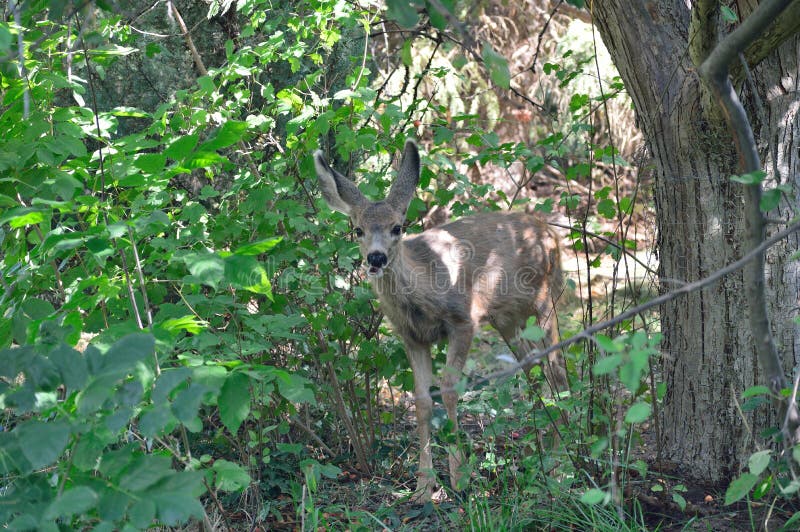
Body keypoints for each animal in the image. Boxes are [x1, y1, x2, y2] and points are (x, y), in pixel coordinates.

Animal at [314, 139, 568, 500]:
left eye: (397, 227)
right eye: (358, 229)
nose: (375, 257)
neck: (422, 293)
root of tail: (549, 231)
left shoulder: (463, 320)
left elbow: (448, 390)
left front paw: (459, 477)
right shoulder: (412, 337)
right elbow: (421, 400)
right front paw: (423, 486)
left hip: (547, 299)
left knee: (557, 371)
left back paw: (561, 463)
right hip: (508, 318)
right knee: (535, 372)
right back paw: (541, 450)